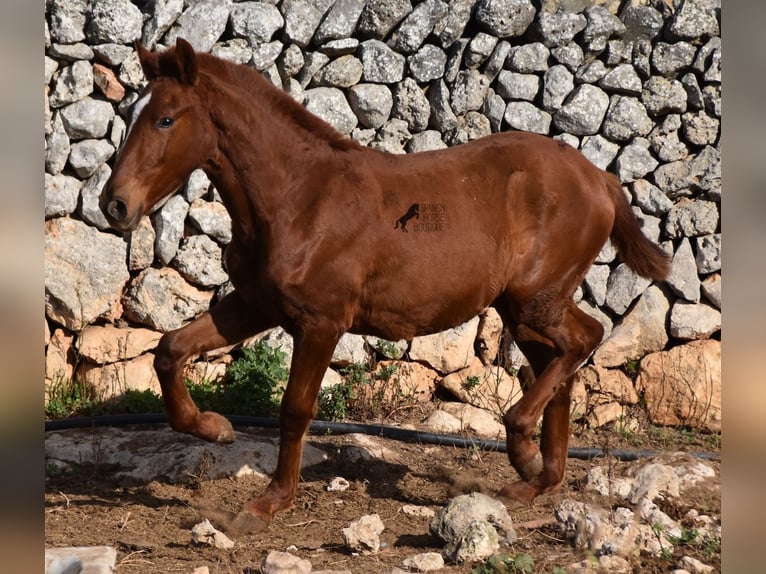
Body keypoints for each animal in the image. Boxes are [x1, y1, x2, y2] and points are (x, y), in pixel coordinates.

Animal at [100, 37, 664, 532]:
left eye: (166, 118)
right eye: (131, 115)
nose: (115, 205)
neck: (298, 199)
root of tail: (599, 178)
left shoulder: (321, 322)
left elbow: (295, 409)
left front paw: (268, 504)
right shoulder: (256, 304)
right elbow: (170, 349)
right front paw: (216, 427)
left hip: (534, 299)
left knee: (584, 339)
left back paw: (522, 444)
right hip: (520, 308)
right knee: (559, 360)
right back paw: (537, 477)